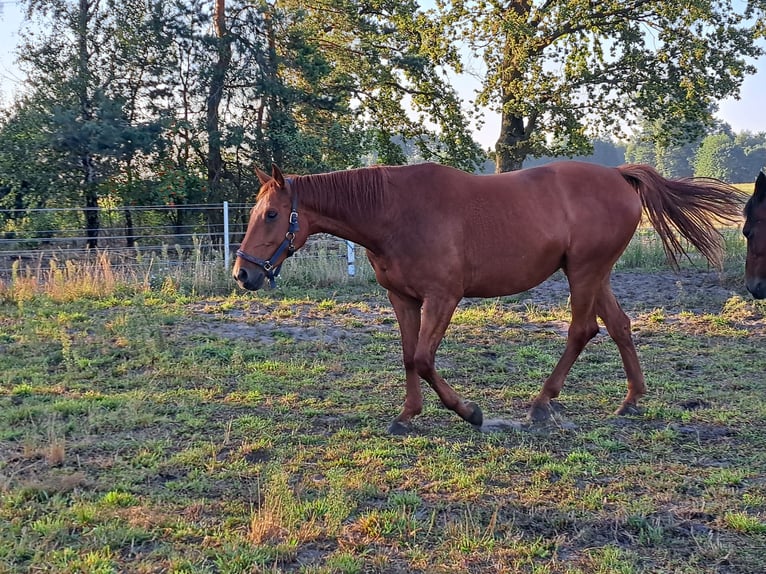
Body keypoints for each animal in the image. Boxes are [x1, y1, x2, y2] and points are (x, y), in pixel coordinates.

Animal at [234, 160, 744, 434]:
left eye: (273, 214)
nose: (243, 274)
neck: (394, 212)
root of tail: (619, 176)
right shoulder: (404, 299)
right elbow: (407, 357)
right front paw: (407, 415)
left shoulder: (443, 297)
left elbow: (423, 359)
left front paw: (470, 412)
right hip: (593, 275)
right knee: (618, 326)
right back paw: (631, 400)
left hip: (585, 273)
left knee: (583, 330)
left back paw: (542, 403)